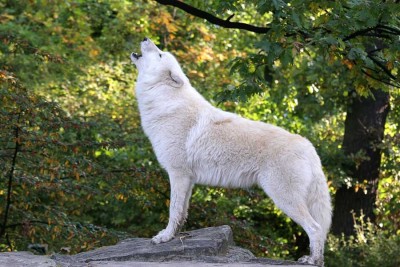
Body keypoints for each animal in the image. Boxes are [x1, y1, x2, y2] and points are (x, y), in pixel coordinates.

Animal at [131, 37, 332, 266]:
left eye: (160, 54)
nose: (146, 38)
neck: (165, 100)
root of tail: (308, 146)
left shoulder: (178, 174)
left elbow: (173, 210)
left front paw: (164, 237)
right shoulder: (188, 179)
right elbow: (182, 212)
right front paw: (176, 236)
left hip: (283, 199)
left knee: (315, 229)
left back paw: (312, 260)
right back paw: (316, 259)